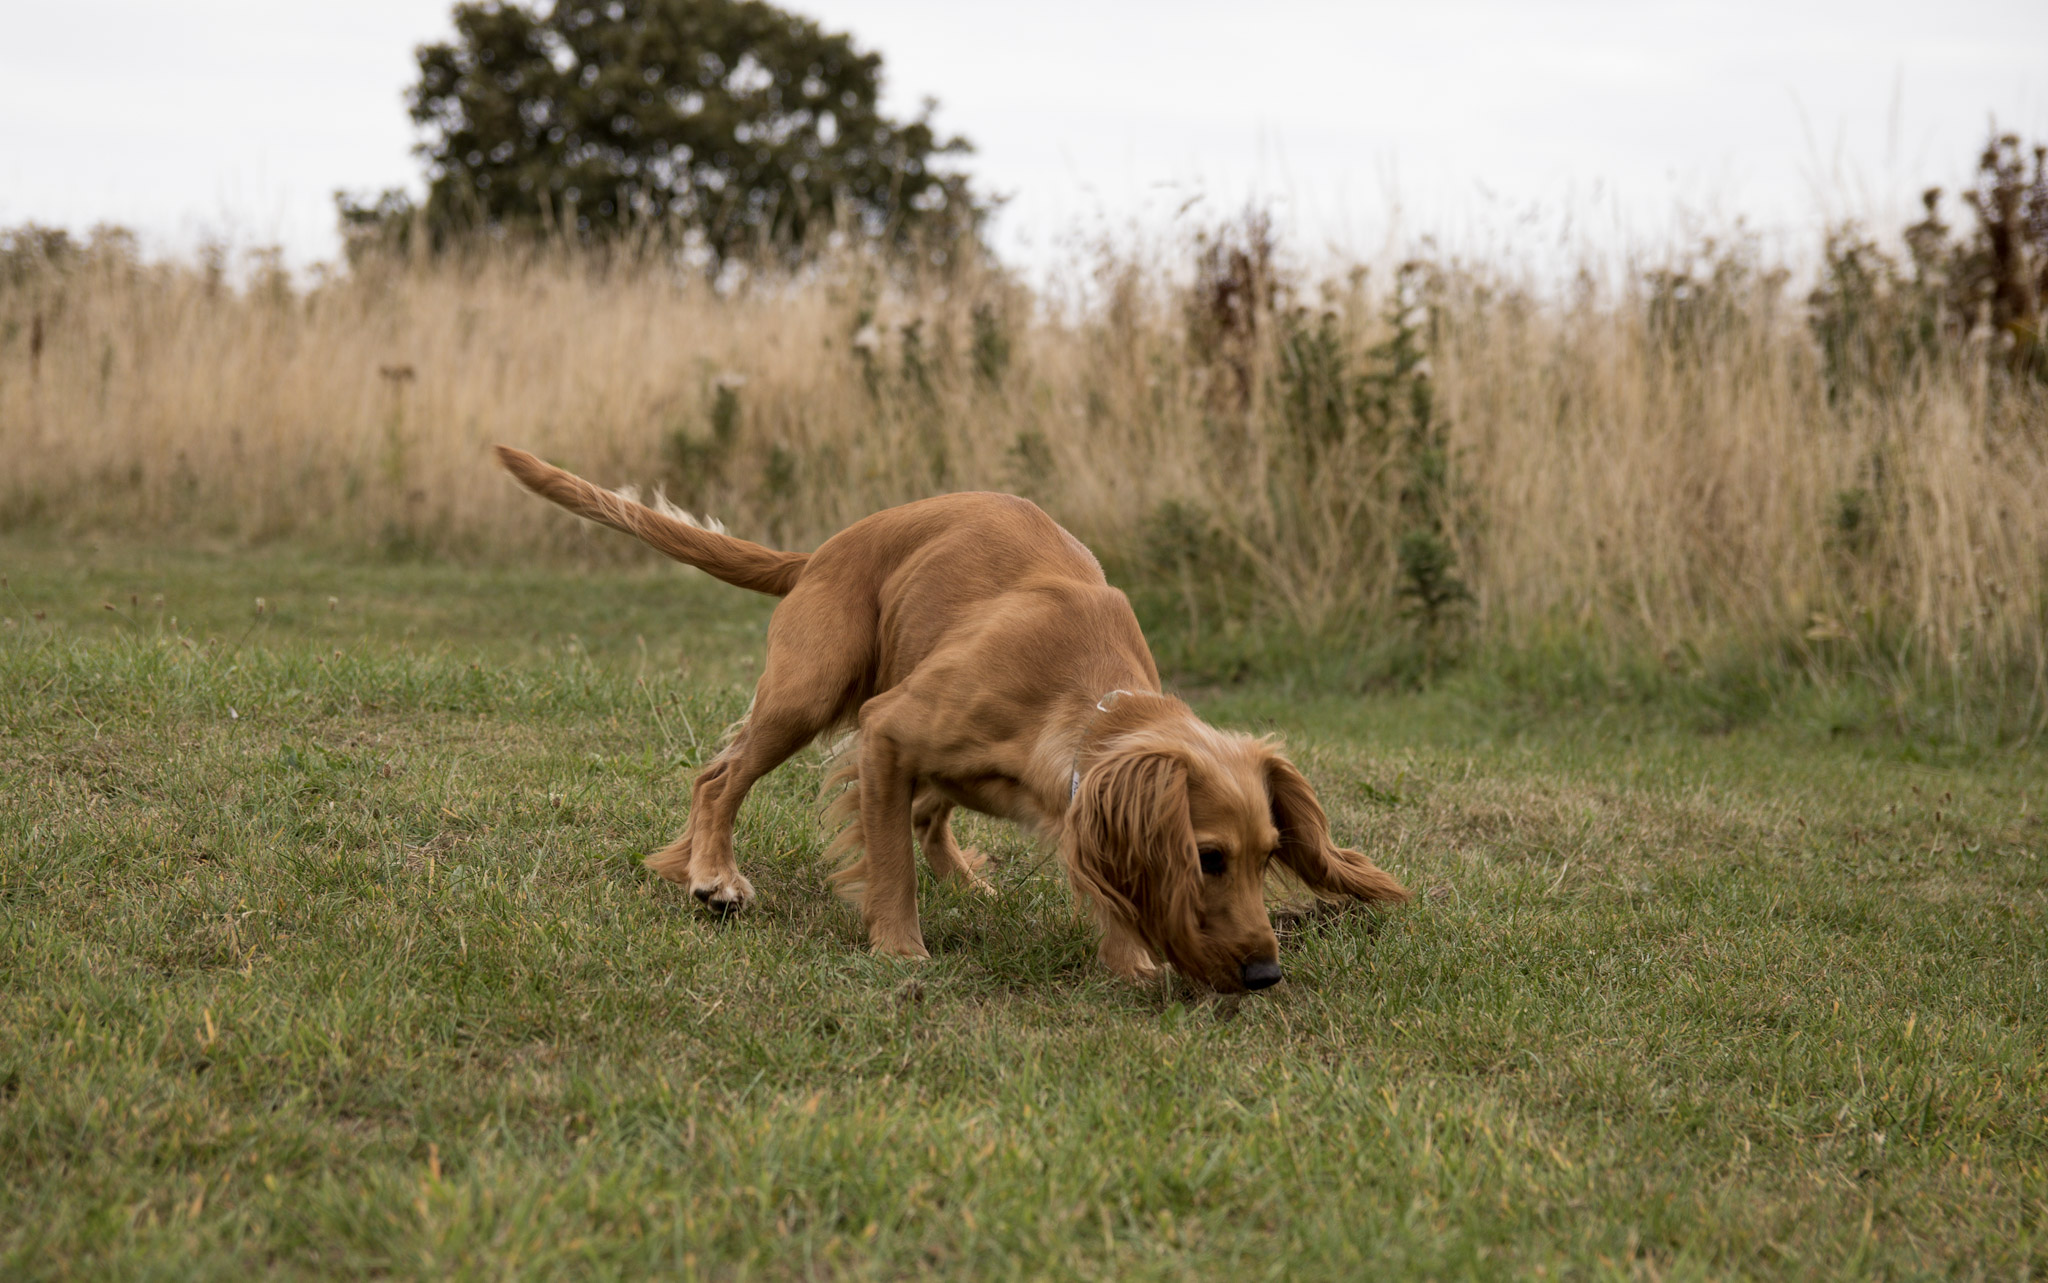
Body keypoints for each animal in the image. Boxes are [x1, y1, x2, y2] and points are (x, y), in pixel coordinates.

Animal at [495, 442, 1400, 987]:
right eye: (1208, 857)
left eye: (1271, 853)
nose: (1265, 974)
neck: (1083, 693)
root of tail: (821, 551)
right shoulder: (888, 732)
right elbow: (890, 858)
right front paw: (900, 947)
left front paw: (1129, 958)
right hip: (807, 691)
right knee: (721, 776)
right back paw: (713, 871)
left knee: (930, 811)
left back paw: (967, 878)